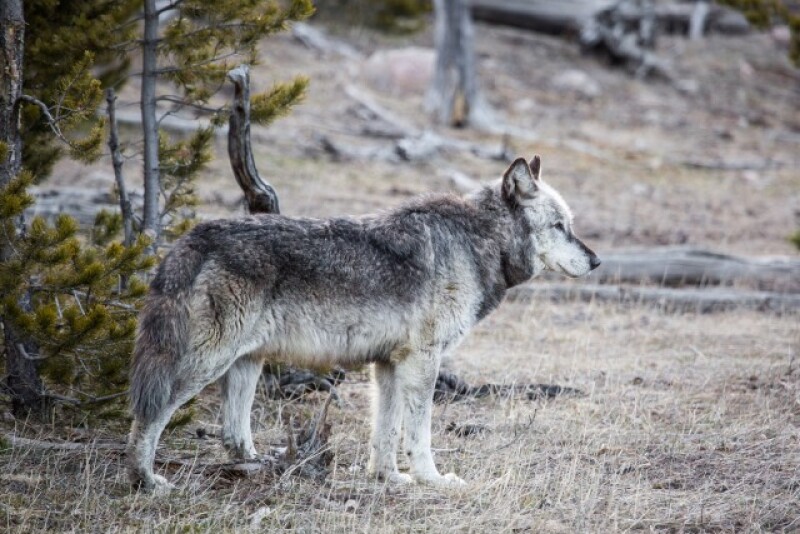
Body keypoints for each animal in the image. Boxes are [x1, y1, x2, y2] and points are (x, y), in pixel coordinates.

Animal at [126, 156, 600, 492]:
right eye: (559, 226)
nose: (596, 261)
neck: (479, 241)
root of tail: (191, 238)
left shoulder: (388, 364)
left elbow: (384, 433)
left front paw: (388, 478)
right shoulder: (423, 360)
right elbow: (418, 433)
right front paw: (432, 479)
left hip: (246, 364)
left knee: (232, 435)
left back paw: (261, 468)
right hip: (207, 364)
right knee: (149, 415)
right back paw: (145, 480)